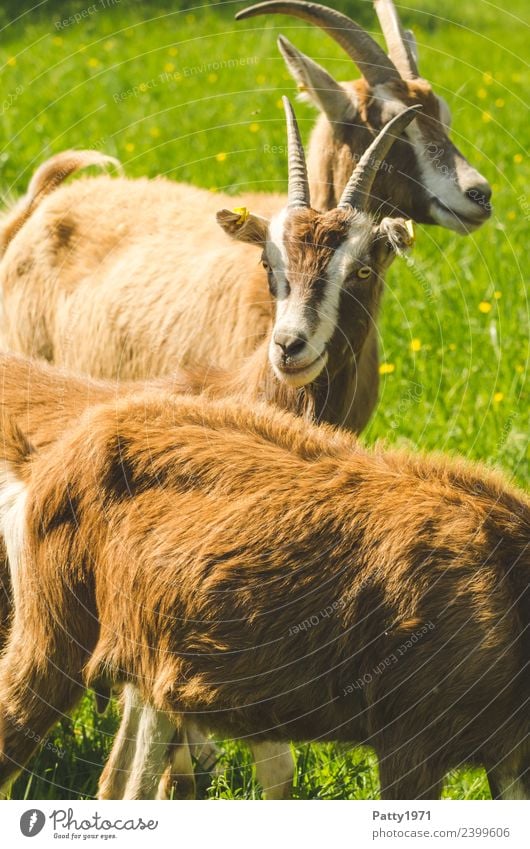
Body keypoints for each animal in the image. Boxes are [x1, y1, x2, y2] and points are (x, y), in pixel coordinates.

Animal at [0, 394, 524, 800]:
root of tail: (45, 464)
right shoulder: (411, 735)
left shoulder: (509, 755)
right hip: (51, 631)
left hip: (145, 662)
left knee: (123, 785)